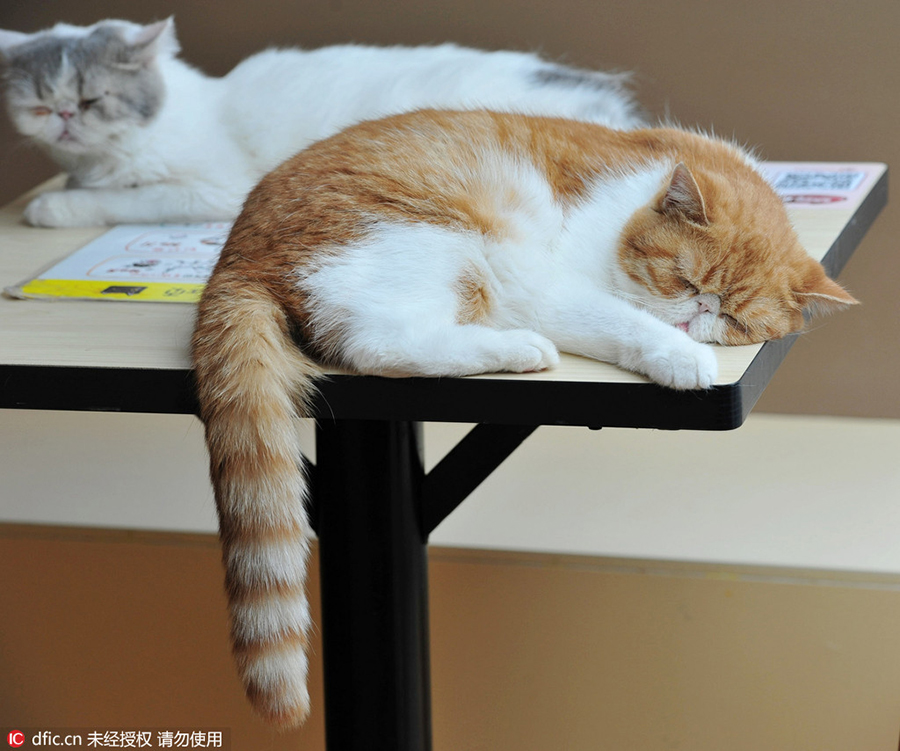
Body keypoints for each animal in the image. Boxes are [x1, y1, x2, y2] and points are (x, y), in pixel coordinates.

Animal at [0, 16, 648, 226]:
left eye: (92, 100)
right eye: (40, 105)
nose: (64, 117)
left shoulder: (213, 189)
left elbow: (126, 198)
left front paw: (54, 205)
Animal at [192, 108, 856, 724]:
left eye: (736, 320)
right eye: (684, 279)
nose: (699, 318)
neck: (633, 192)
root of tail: (234, 256)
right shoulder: (543, 282)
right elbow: (618, 320)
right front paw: (678, 354)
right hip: (439, 242)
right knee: (379, 343)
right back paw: (521, 348)